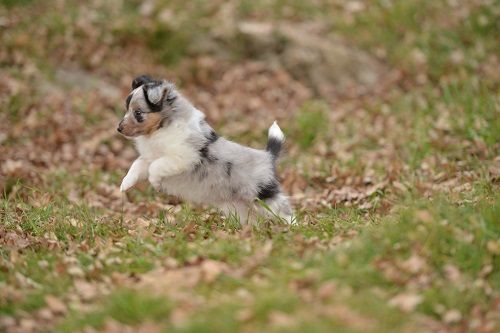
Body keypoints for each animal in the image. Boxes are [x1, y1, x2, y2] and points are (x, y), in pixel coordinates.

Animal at [117, 75, 292, 223]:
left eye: (138, 113)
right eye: (126, 109)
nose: (118, 128)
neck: (161, 128)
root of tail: (268, 156)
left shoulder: (182, 157)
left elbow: (156, 167)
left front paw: (155, 182)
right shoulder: (150, 156)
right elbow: (137, 165)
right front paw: (125, 184)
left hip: (265, 195)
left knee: (285, 210)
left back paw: (292, 228)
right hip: (240, 205)